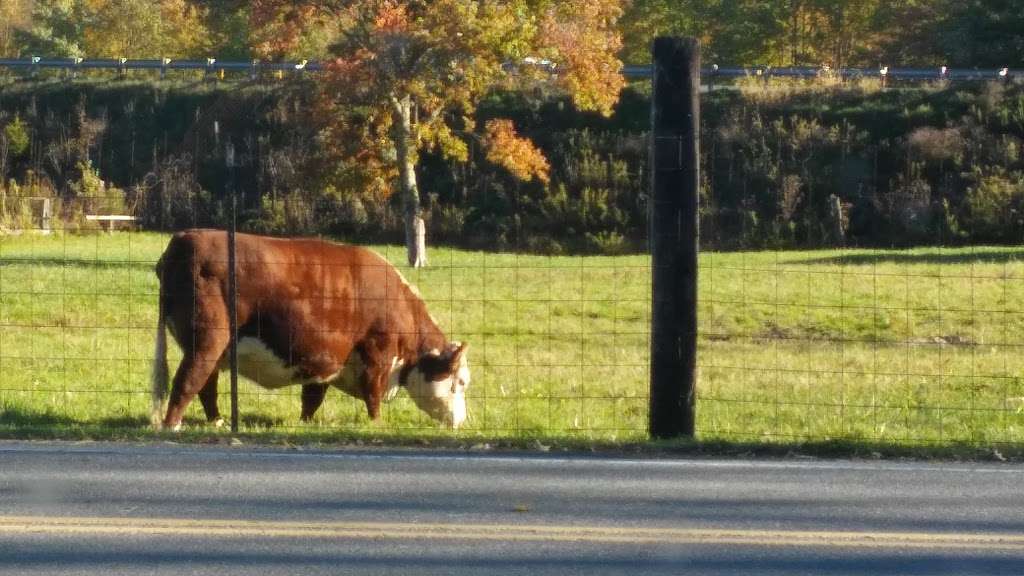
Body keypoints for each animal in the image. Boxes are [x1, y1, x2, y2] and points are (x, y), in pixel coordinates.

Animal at [149, 228, 468, 430]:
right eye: (461, 382)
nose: (462, 422)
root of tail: (184, 238)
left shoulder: (325, 359)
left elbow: (312, 398)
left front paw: (305, 423)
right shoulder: (377, 355)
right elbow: (373, 394)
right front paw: (376, 425)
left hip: (213, 349)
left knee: (207, 386)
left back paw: (216, 422)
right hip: (207, 341)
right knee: (188, 380)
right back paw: (172, 426)